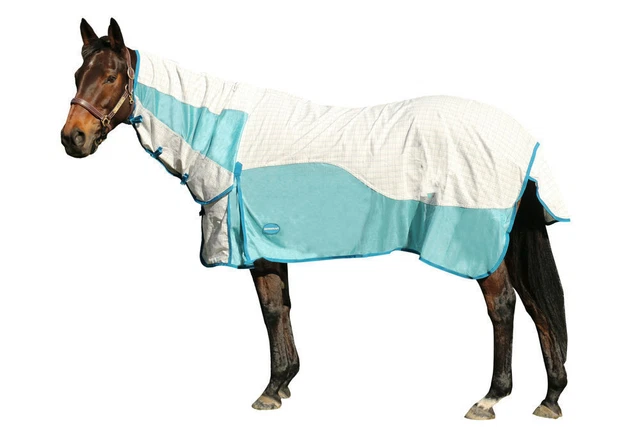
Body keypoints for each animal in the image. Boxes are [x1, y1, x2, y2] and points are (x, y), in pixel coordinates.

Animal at [60, 18, 569, 420]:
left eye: (111, 76)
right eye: (77, 74)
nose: (72, 138)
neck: (221, 135)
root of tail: (517, 140)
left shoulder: (257, 246)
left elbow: (270, 311)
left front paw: (269, 390)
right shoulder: (271, 245)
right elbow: (282, 308)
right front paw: (283, 383)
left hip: (478, 243)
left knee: (503, 308)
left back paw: (491, 399)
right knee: (537, 308)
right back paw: (550, 398)